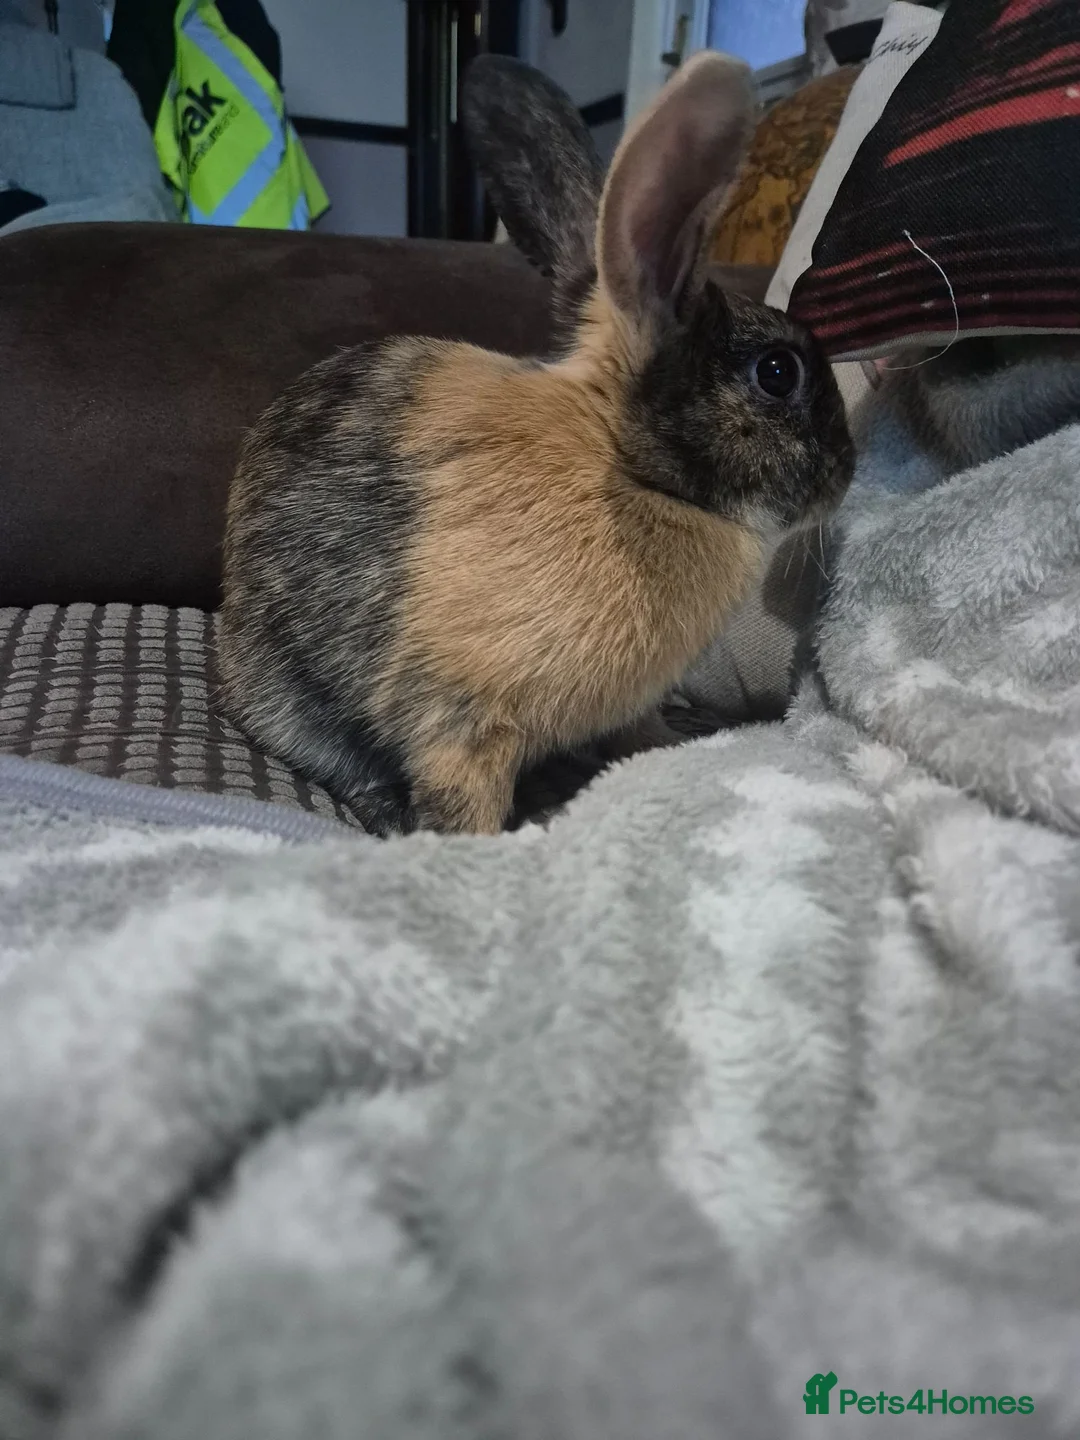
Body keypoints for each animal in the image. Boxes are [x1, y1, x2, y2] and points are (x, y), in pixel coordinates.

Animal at [218, 51, 855, 837]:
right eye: (777, 373)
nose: (848, 470)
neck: (626, 471)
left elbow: (635, 731)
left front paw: (668, 740)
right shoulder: (464, 724)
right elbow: (466, 798)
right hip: (292, 697)